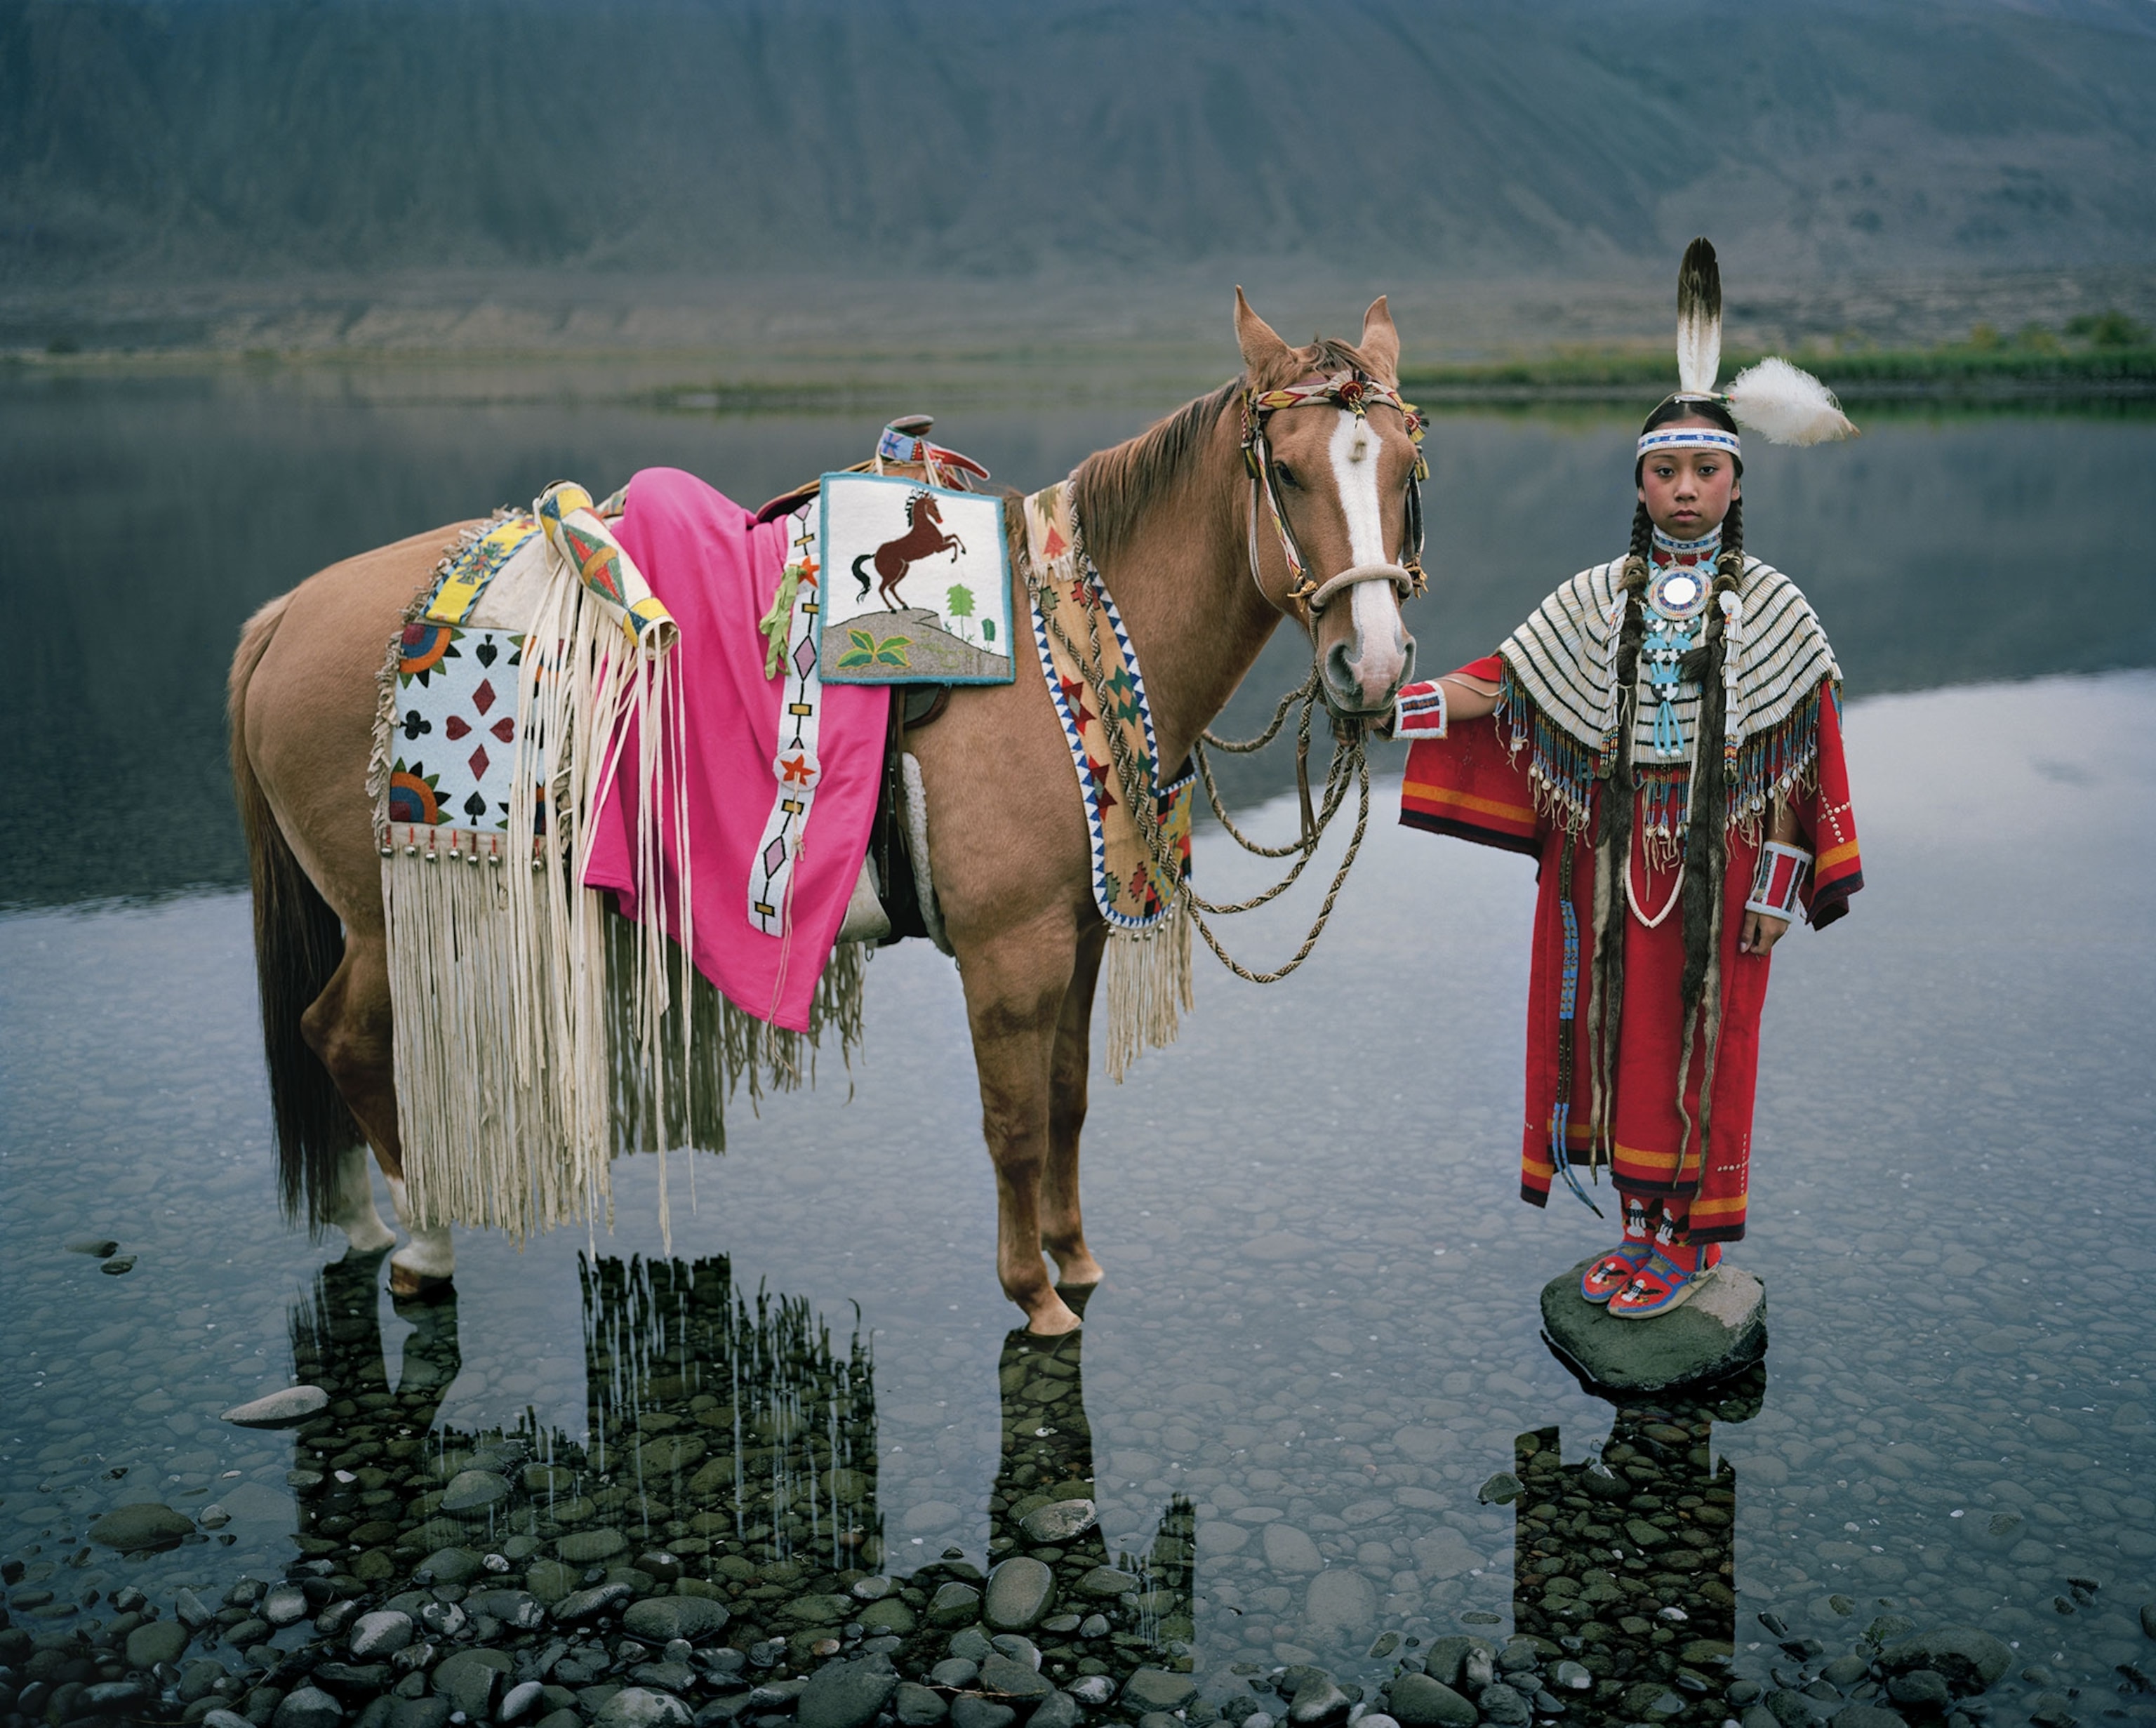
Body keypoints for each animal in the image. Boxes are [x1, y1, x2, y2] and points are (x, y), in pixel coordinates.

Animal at [851, 490, 967, 610]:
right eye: (933, 507)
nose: (940, 521)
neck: (924, 528)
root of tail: (875, 555)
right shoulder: (938, 548)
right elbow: (954, 543)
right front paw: (954, 559)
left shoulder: (942, 542)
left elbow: (955, 536)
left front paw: (964, 551)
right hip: (892, 573)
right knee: (882, 589)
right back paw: (892, 608)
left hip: (904, 568)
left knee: (891, 587)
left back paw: (904, 605)